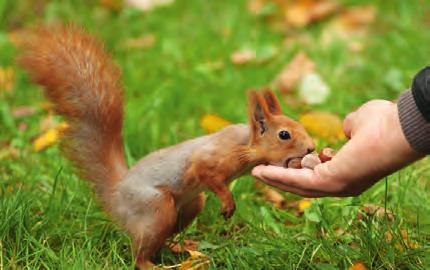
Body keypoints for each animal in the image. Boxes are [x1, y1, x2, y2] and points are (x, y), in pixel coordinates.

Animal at [18, 24, 314, 268]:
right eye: (284, 135)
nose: (311, 148)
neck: (245, 144)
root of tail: (116, 195)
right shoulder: (212, 158)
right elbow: (209, 175)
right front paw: (228, 203)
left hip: (190, 205)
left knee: (161, 240)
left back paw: (180, 248)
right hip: (157, 208)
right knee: (139, 255)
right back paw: (155, 265)